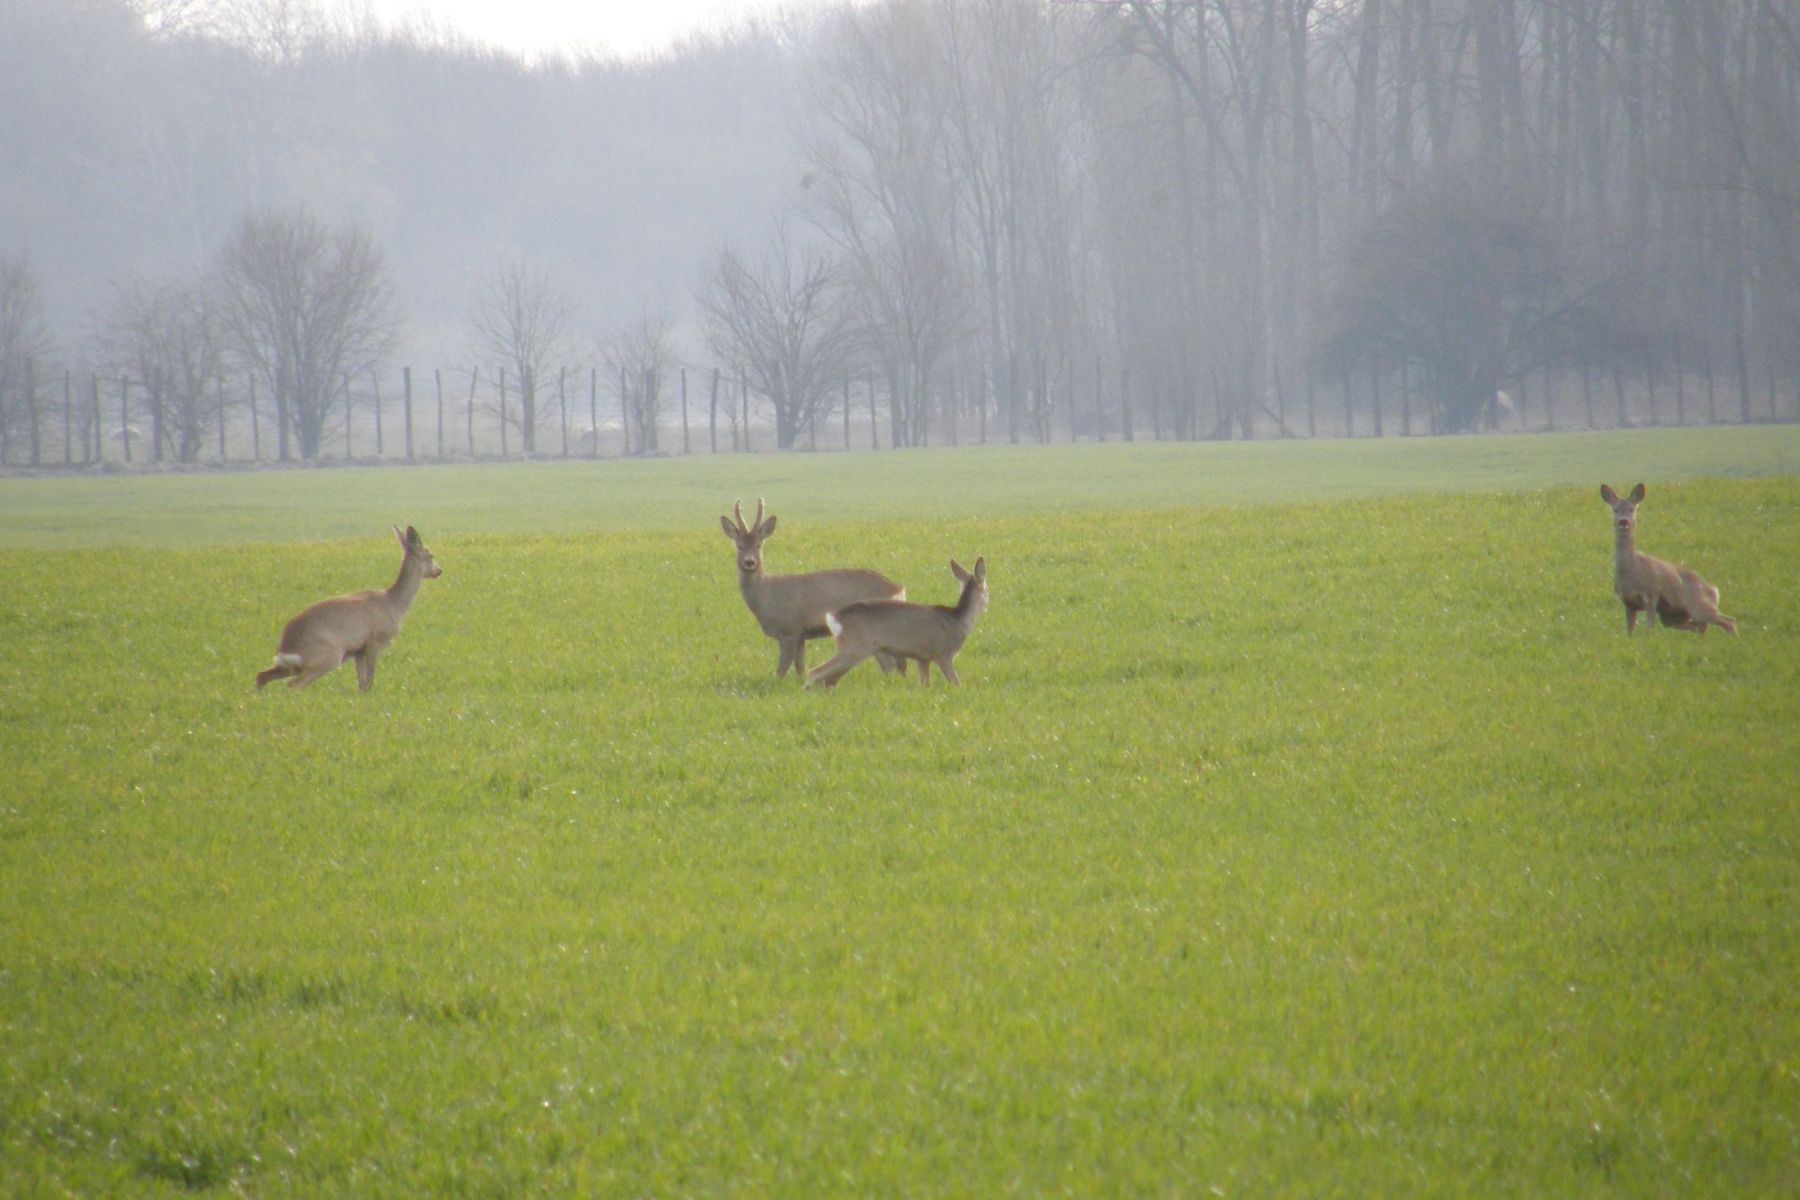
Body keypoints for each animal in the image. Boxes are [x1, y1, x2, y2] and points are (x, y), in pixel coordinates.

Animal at [253, 528, 442, 694]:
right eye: (430, 555)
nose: (439, 570)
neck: (394, 604)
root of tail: (286, 648)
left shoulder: (357, 650)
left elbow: (361, 683)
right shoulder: (374, 641)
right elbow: (369, 681)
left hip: (291, 666)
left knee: (261, 675)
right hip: (328, 656)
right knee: (294, 684)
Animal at [716, 496, 907, 680]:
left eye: (759, 545)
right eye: (739, 546)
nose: (749, 562)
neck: (766, 595)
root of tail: (898, 589)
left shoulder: (789, 630)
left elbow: (781, 671)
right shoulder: (801, 635)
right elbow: (801, 668)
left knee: (889, 665)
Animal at [810, 557, 993, 690]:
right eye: (987, 590)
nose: (988, 604)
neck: (959, 620)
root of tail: (834, 618)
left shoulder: (923, 658)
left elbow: (924, 684)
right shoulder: (943, 653)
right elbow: (956, 682)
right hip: (853, 648)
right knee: (815, 672)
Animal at [1598, 485, 1735, 636]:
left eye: (1632, 509)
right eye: (1615, 509)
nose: (1624, 521)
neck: (1630, 572)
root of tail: (1714, 590)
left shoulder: (1651, 594)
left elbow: (1650, 628)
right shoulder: (1628, 602)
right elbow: (1630, 631)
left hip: (1699, 607)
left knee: (1729, 621)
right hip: (1672, 617)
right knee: (1702, 626)